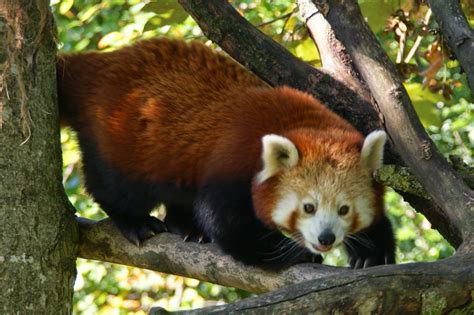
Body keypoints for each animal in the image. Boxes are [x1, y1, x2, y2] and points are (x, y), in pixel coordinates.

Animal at [57, 37, 394, 270]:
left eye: (344, 209)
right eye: (308, 207)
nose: (326, 238)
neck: (298, 121)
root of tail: (104, 63)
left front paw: (371, 251)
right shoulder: (232, 164)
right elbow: (228, 225)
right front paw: (293, 253)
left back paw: (186, 227)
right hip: (121, 140)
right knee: (115, 188)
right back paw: (137, 222)